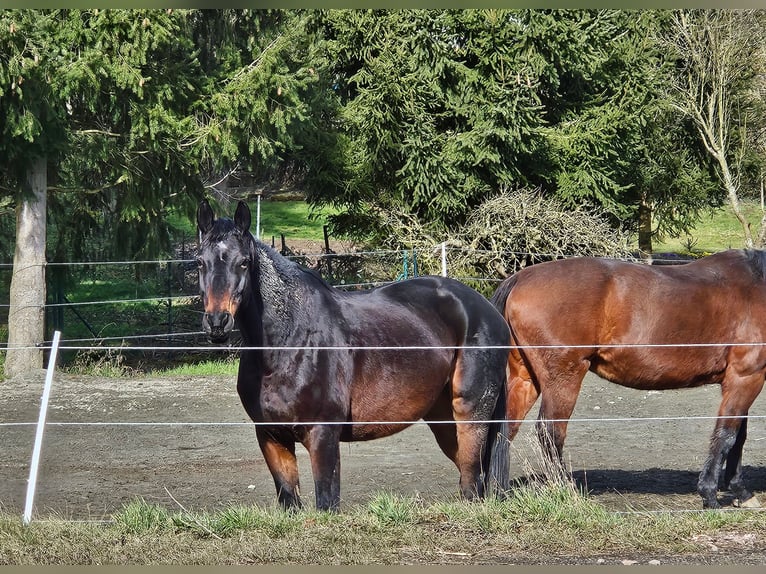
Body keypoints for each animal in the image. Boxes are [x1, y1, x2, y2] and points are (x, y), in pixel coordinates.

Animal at [196, 201, 516, 512]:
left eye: (244, 262)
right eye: (200, 262)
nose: (217, 322)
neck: (286, 345)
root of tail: (487, 309)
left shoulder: (323, 435)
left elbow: (327, 503)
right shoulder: (272, 437)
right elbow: (290, 501)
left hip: (470, 414)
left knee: (472, 481)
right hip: (442, 418)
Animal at [492, 250, 766, 510]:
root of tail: (519, 279)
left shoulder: (742, 382)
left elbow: (738, 436)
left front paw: (741, 493)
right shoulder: (745, 378)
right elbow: (727, 435)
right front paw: (710, 495)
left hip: (526, 379)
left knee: (505, 428)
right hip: (563, 379)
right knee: (550, 432)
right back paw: (565, 490)